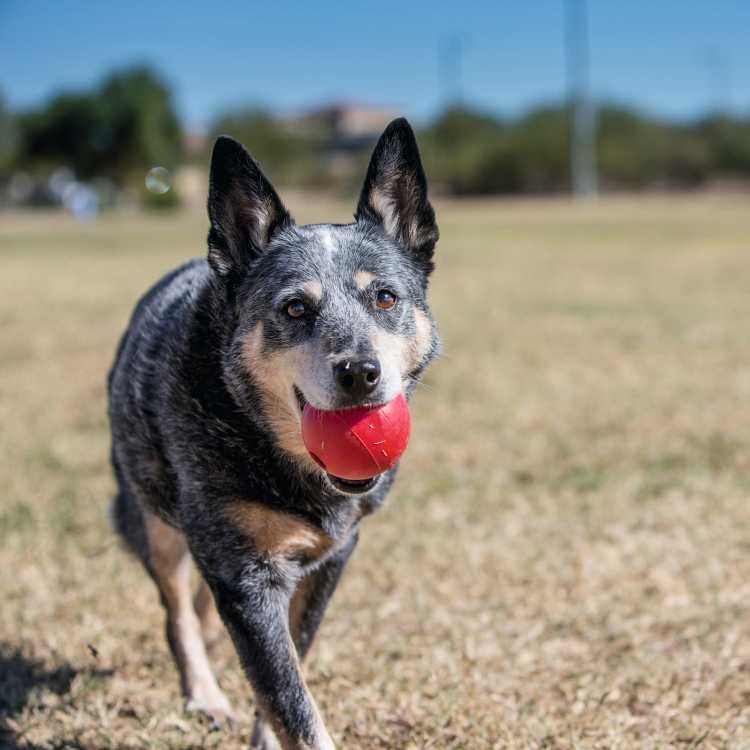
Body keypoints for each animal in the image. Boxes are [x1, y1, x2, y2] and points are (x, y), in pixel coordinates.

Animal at [108, 119, 444, 750]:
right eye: (294, 308)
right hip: (151, 513)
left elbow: (293, 663)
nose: (360, 372)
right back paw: (205, 694)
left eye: (385, 297)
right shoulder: (245, 578)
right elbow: (290, 697)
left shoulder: (332, 557)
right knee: (176, 609)